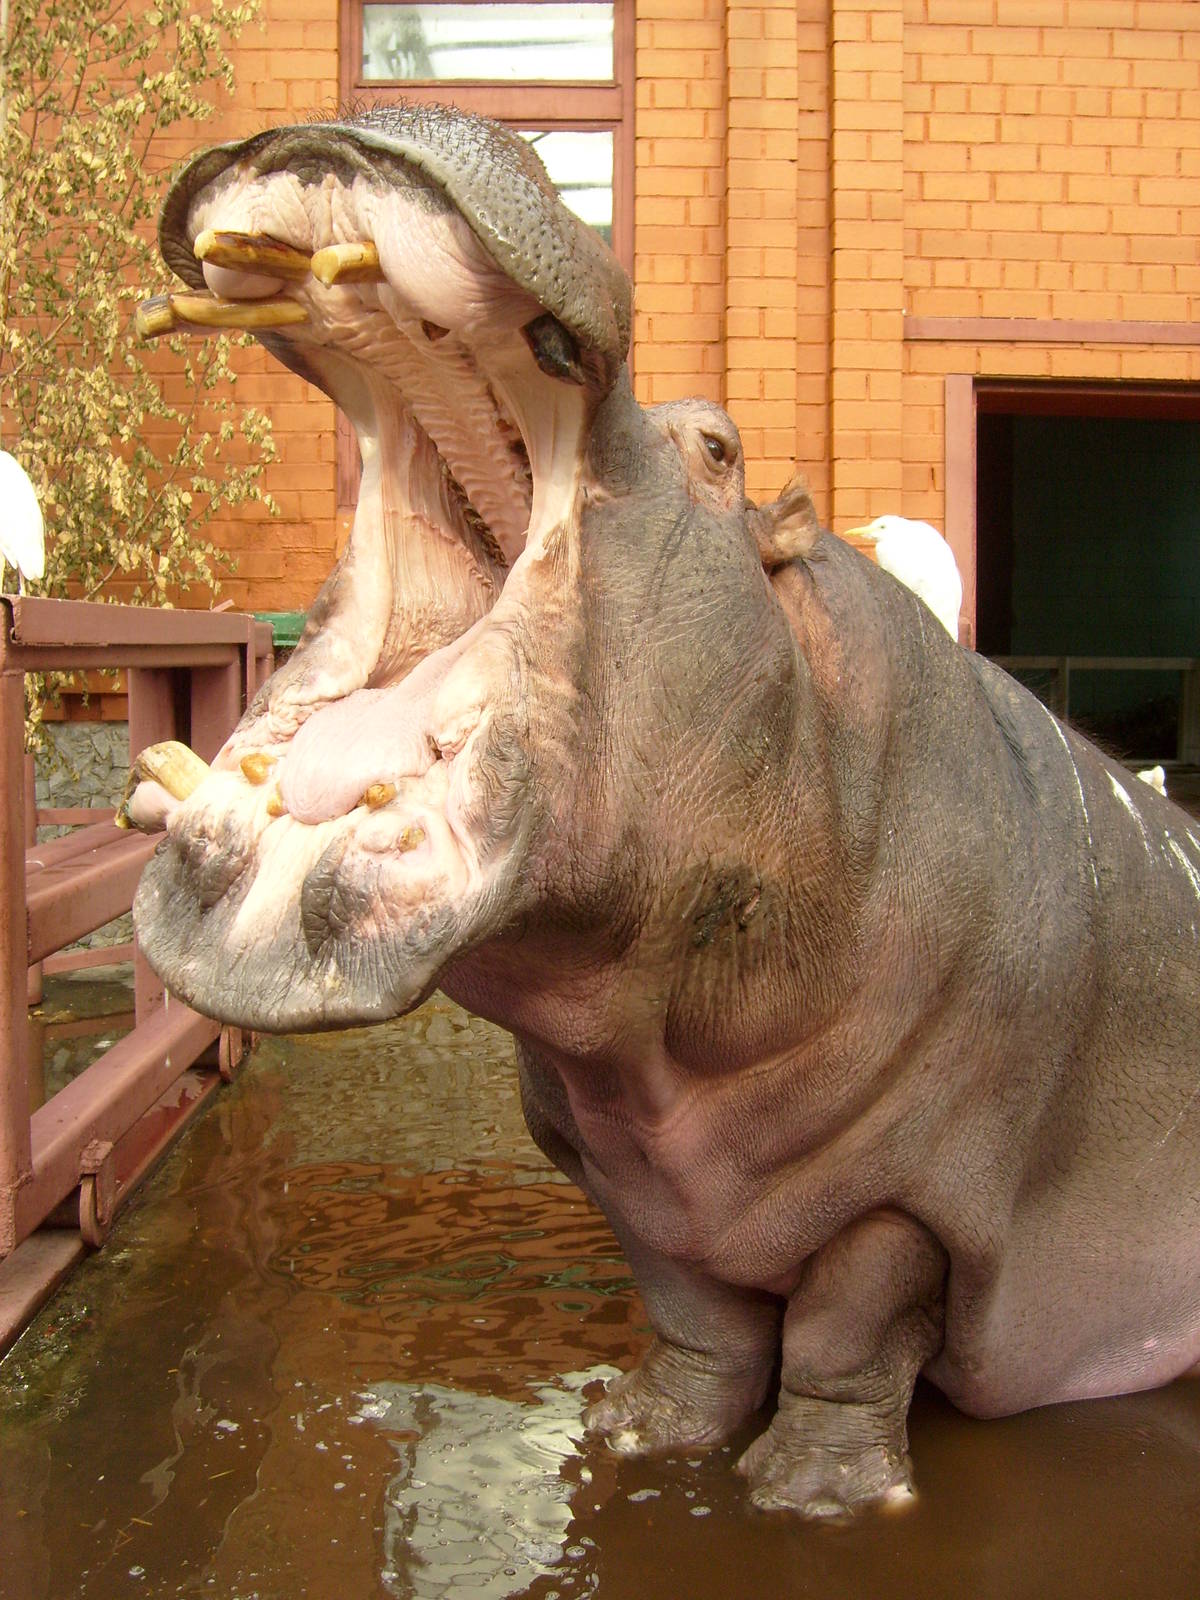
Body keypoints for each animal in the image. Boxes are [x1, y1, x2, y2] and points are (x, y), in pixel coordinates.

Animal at [129, 105, 1200, 1517]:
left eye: (721, 446)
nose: (353, 126)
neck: (656, 1064)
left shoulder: (918, 1186)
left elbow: (849, 1330)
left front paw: (810, 1499)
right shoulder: (626, 1167)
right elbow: (695, 1316)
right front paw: (642, 1435)